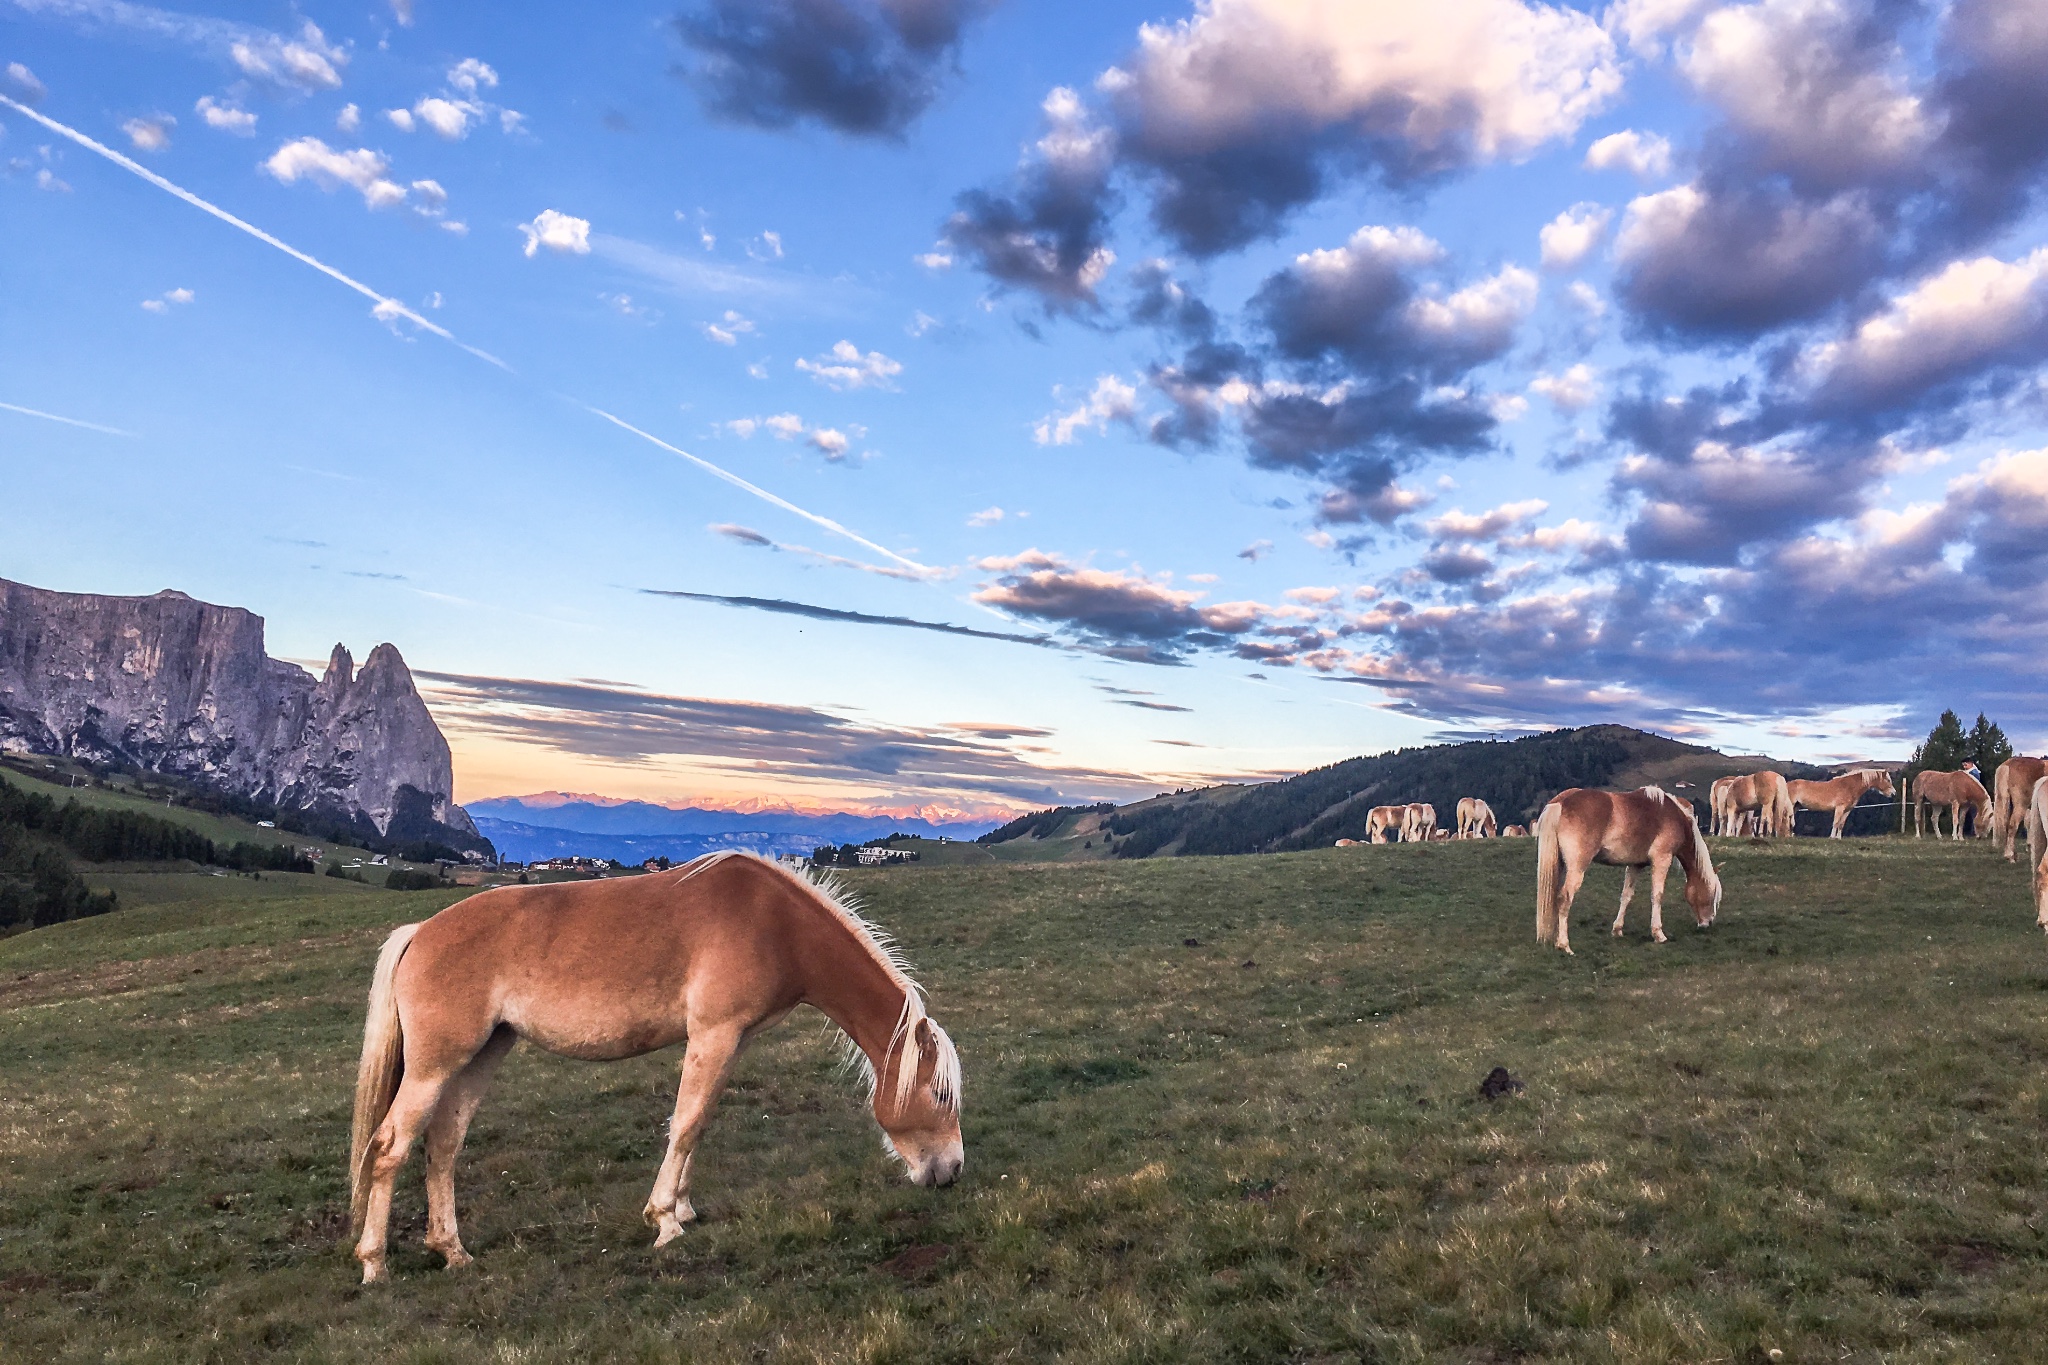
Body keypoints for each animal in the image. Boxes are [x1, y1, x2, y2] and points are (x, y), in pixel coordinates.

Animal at [348, 847, 962, 1285]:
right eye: (939, 1095)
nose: (951, 1171)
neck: (774, 924)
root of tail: (419, 934)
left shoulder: (730, 1041)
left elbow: (699, 1123)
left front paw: (684, 1209)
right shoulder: (714, 1035)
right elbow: (685, 1124)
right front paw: (664, 1220)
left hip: (482, 1054)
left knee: (444, 1144)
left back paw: (452, 1251)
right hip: (435, 1065)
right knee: (389, 1147)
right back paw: (375, 1263)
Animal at [1531, 785, 1720, 957]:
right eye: (1712, 895)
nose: (1708, 923)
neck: (1672, 815)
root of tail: (1562, 802)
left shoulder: (1635, 865)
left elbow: (1626, 895)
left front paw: (1617, 930)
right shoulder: (1662, 859)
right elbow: (1657, 895)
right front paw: (1658, 934)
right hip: (1577, 868)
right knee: (1564, 898)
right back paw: (1564, 945)